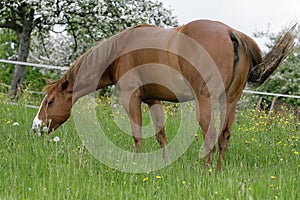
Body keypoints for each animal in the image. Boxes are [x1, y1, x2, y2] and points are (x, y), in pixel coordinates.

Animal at [31, 19, 296, 170]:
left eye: (50, 102)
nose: (36, 127)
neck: (120, 49)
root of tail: (231, 33)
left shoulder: (131, 97)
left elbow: (137, 134)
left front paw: (136, 163)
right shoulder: (153, 100)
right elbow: (161, 134)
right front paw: (165, 164)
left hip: (206, 100)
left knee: (210, 133)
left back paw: (207, 172)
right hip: (229, 100)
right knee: (224, 136)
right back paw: (218, 172)